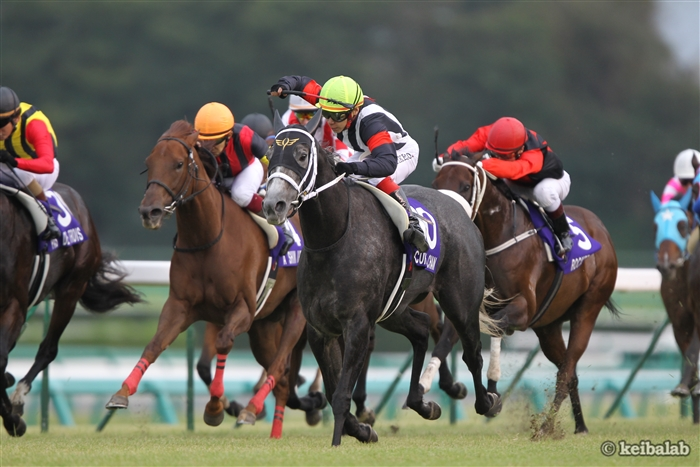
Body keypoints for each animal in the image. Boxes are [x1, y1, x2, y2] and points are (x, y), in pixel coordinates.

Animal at [105, 120, 326, 438]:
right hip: (263, 327)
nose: (149, 211)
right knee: (283, 378)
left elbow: (223, 344)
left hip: (294, 313)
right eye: (149, 163)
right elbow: (155, 344)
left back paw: (251, 410)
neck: (207, 239)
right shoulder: (180, 306)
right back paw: (275, 429)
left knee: (279, 365)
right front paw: (122, 392)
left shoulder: (242, 309)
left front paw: (215, 407)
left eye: (178, 164)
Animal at [263, 112, 501, 446]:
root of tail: (461, 210)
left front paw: (339, 441)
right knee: (420, 330)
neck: (334, 239)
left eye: (301, 155)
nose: (274, 205)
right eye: (271, 154)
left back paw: (487, 401)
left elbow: (341, 393)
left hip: (461, 302)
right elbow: (334, 388)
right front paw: (360, 429)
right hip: (394, 309)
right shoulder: (320, 329)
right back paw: (421, 403)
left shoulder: (357, 324)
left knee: (473, 353)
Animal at [432, 153, 619, 436]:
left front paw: (492, 395)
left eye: (465, 186)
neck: (497, 237)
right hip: (548, 326)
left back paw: (546, 427)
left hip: (588, 309)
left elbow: (493, 329)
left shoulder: (523, 307)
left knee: (566, 372)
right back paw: (579, 425)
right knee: (570, 372)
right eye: (437, 182)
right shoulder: (469, 306)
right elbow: (447, 342)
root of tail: (600, 228)